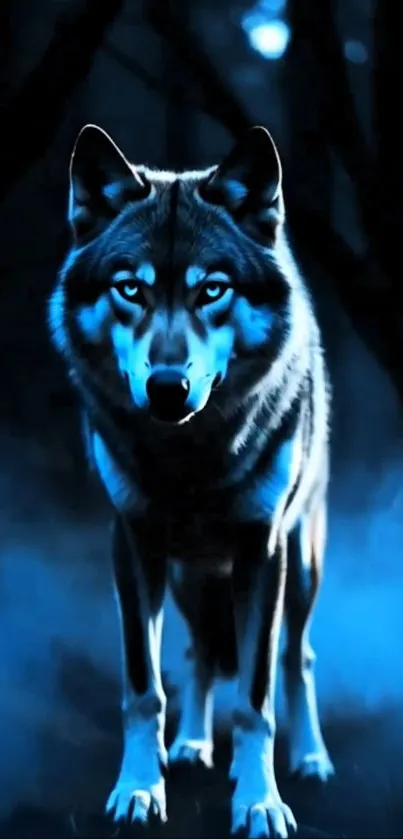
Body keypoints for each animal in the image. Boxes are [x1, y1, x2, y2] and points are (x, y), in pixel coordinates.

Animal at [48, 123, 334, 838]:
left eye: (212, 290)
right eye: (131, 289)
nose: (167, 387)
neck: (190, 460)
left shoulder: (264, 552)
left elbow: (257, 701)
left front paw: (260, 803)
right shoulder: (133, 547)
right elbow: (143, 687)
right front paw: (138, 789)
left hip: (301, 568)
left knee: (297, 658)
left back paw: (311, 759)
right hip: (187, 577)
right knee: (200, 652)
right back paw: (191, 746)